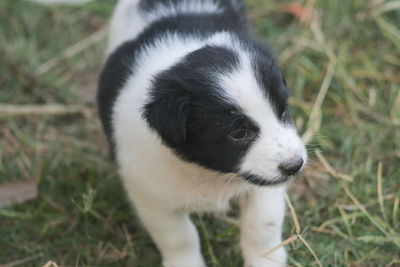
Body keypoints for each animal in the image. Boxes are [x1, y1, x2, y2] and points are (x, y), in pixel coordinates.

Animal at [96, 0, 306, 267]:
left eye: (283, 111)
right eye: (239, 132)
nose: (295, 165)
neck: (209, 173)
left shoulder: (263, 186)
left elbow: (263, 223)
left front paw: (265, 259)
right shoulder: (151, 198)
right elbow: (179, 237)